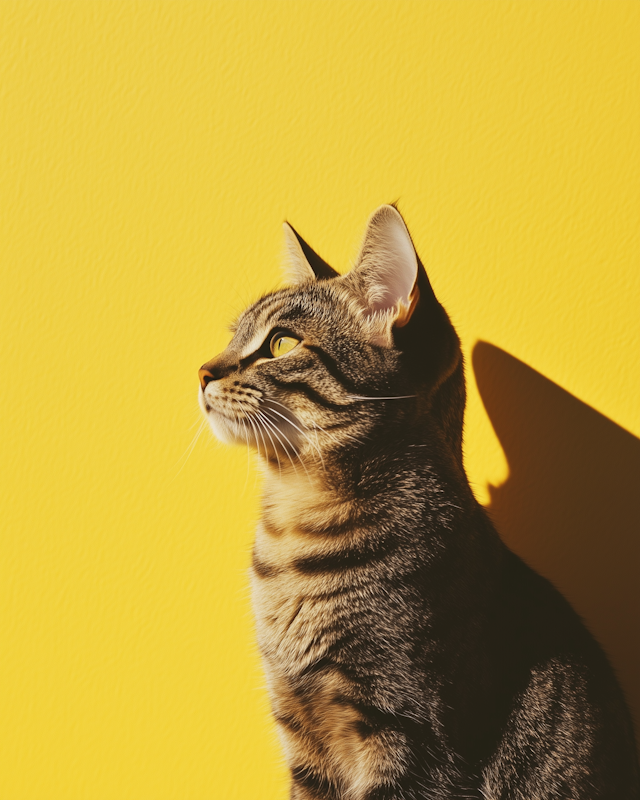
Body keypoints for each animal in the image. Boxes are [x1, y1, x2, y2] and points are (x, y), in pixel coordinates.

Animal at [198, 208, 636, 800]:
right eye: (233, 338)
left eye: (281, 344)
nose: (202, 371)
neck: (294, 530)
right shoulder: (300, 731)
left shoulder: (411, 731)